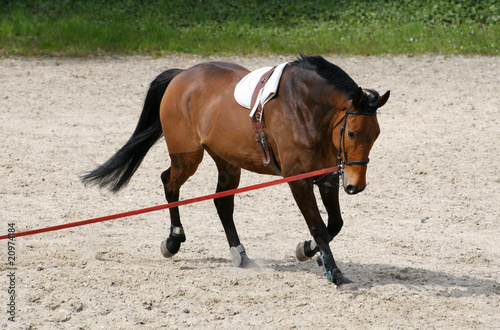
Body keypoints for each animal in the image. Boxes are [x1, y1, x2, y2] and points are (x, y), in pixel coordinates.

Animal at [81, 55, 390, 290]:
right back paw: (173, 240)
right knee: (169, 183)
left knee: (222, 202)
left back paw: (238, 253)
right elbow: (319, 227)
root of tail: (182, 76)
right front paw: (335, 274)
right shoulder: (299, 180)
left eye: (376, 135)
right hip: (188, 156)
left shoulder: (327, 178)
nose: (356, 186)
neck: (306, 109)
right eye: (351, 133)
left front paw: (306, 250)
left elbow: (334, 223)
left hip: (228, 161)